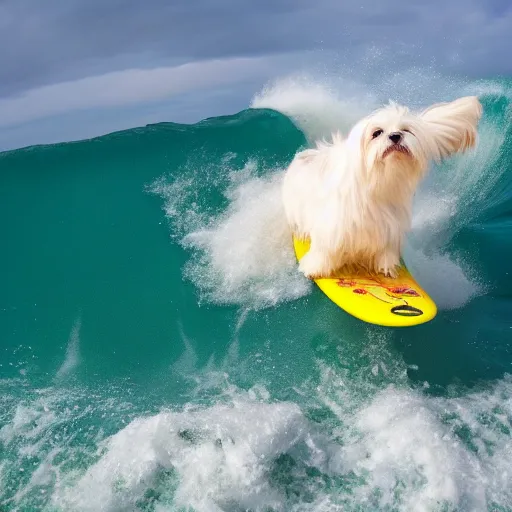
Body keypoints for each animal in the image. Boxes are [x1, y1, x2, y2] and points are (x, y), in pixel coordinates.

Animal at [282, 96, 482, 280]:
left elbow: (385, 249)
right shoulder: (333, 225)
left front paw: (385, 266)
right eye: (377, 133)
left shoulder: (389, 227)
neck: (379, 182)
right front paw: (315, 268)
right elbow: (324, 249)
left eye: (405, 130)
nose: (395, 136)